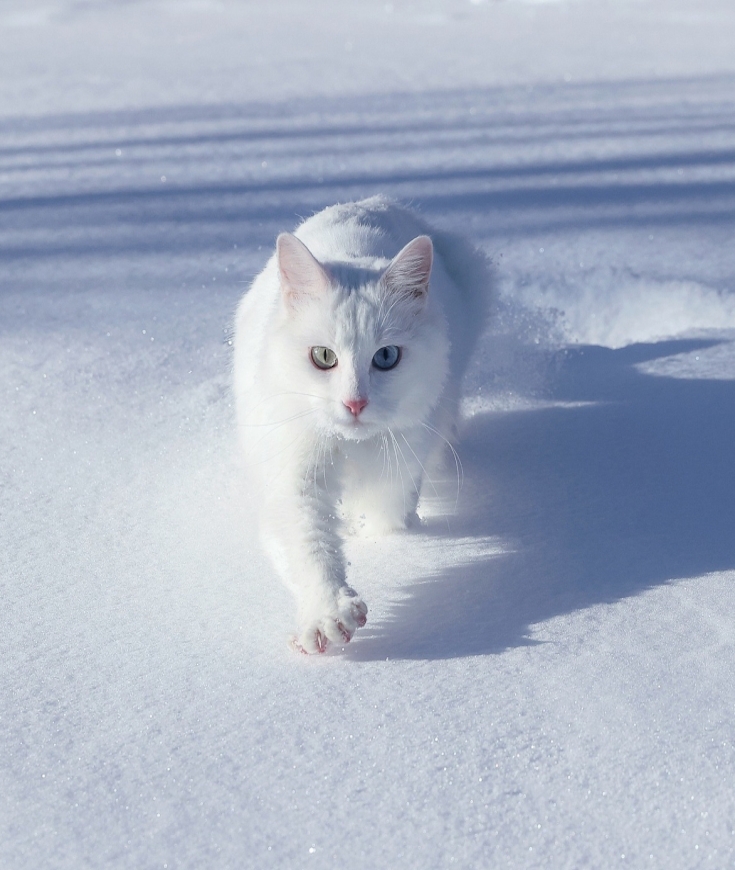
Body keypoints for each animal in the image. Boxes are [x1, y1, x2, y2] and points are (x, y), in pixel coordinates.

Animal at [236, 199, 488, 656]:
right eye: (322, 356)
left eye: (386, 357)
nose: (355, 403)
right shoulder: (294, 470)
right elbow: (309, 542)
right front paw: (327, 615)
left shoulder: (399, 469)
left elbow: (387, 522)